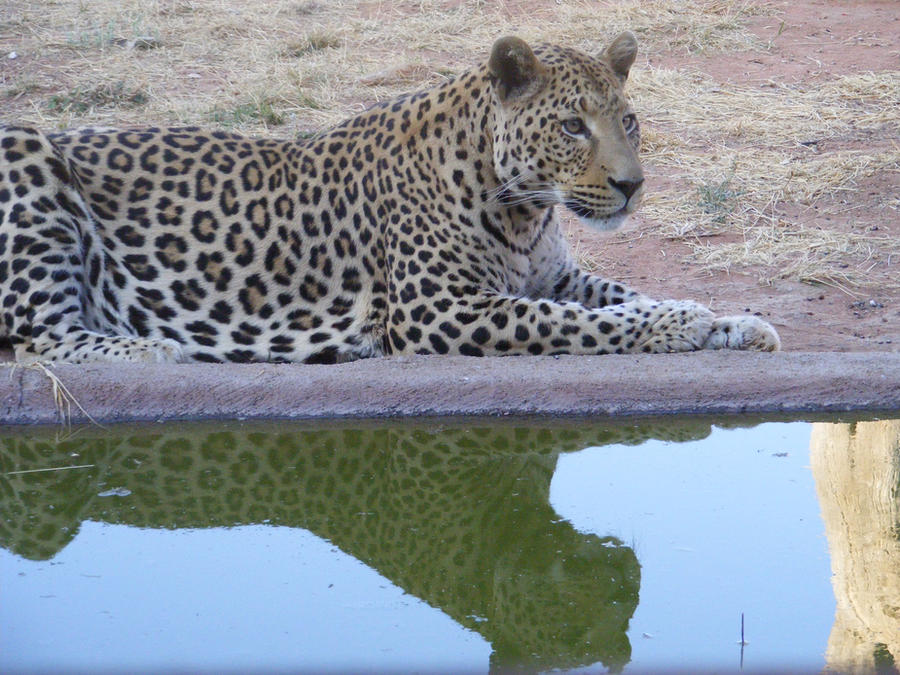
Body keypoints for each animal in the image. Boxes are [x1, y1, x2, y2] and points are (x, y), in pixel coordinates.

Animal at [0, 32, 780, 364]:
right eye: (570, 126)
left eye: (629, 120)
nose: (632, 185)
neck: (525, 208)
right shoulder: (441, 311)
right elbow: (579, 324)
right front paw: (682, 324)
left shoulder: (556, 276)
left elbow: (620, 296)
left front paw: (732, 322)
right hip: (27, 147)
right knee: (46, 336)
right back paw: (157, 349)